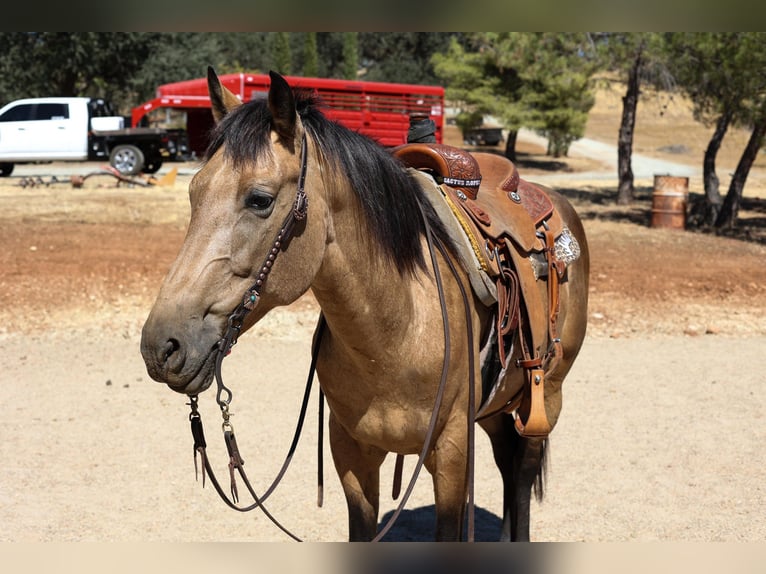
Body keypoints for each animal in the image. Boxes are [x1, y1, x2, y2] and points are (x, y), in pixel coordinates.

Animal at [140, 67, 590, 542]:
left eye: (260, 199)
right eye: (193, 192)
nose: (161, 346)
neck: (396, 331)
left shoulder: (452, 453)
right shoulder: (352, 455)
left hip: (546, 396)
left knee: (520, 471)